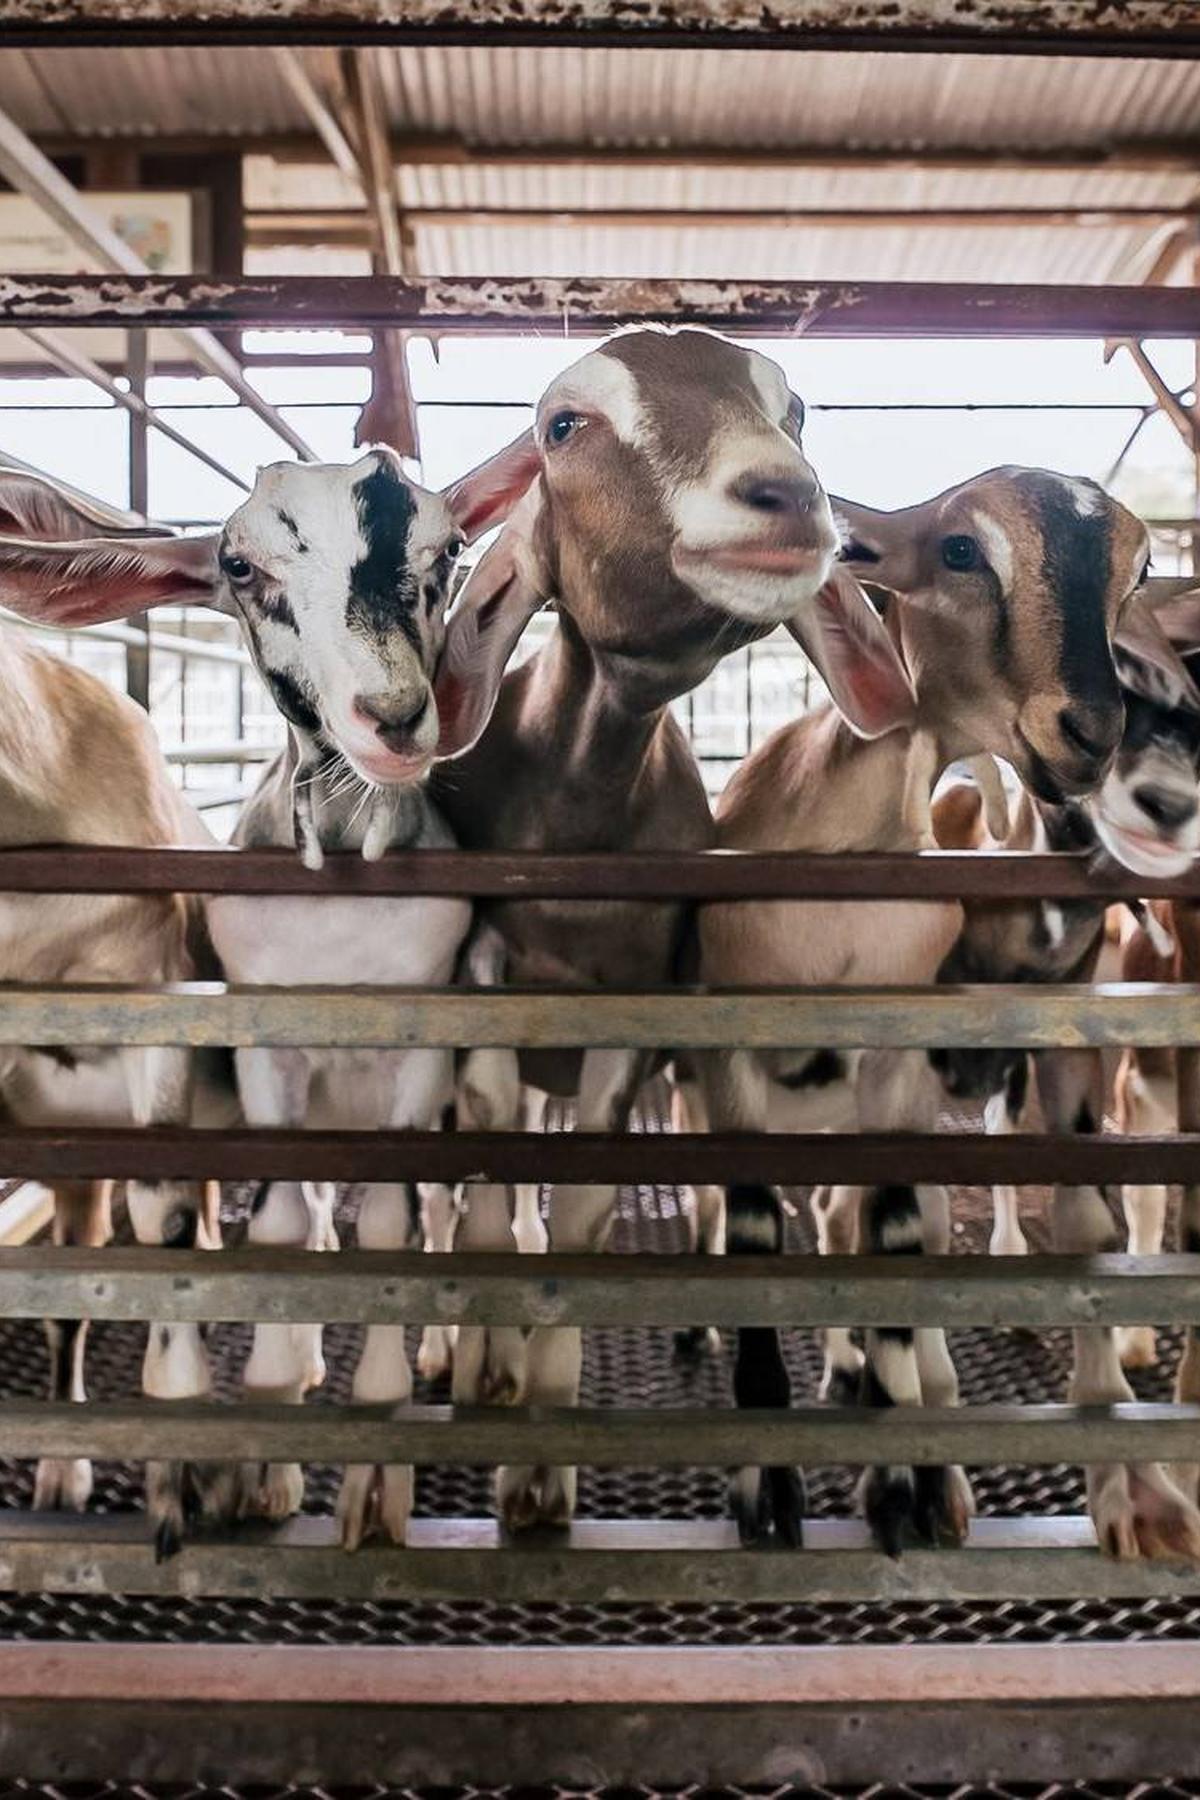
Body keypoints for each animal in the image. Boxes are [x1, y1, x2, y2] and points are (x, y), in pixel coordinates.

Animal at [0, 439, 538, 1549]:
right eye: (241, 567)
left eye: (447, 550)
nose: (395, 718)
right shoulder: (264, 1046)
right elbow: (290, 1231)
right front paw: (271, 1441)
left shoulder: (421, 1043)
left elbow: (391, 1231)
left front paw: (376, 1475)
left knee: (467, 1214)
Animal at [427, 325, 915, 1534]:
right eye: (563, 424)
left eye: (798, 413)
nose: (788, 497)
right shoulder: (485, 977)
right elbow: (487, 1197)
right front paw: (489, 1384)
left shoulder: (634, 1010)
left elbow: (583, 1218)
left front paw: (540, 1467)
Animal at [691, 468, 1200, 1561]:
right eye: (961, 550)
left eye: (1139, 572)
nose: (1091, 734)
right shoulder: (726, 1052)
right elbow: (753, 1237)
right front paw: (767, 1489)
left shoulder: (939, 1055)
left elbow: (926, 1232)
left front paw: (918, 1486)